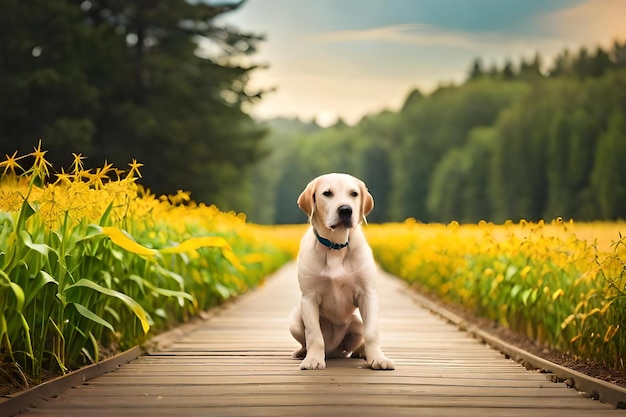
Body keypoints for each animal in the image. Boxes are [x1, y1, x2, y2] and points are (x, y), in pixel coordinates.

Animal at [286, 174, 392, 368]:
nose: (345, 210)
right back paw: (302, 353)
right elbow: (314, 335)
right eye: (327, 193)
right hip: (295, 318)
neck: (335, 247)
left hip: (356, 323)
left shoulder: (367, 294)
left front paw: (378, 358)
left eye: (354, 193)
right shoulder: (309, 297)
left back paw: (361, 352)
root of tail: (332, 351)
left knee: (355, 343)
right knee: (308, 340)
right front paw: (313, 359)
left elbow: (372, 333)